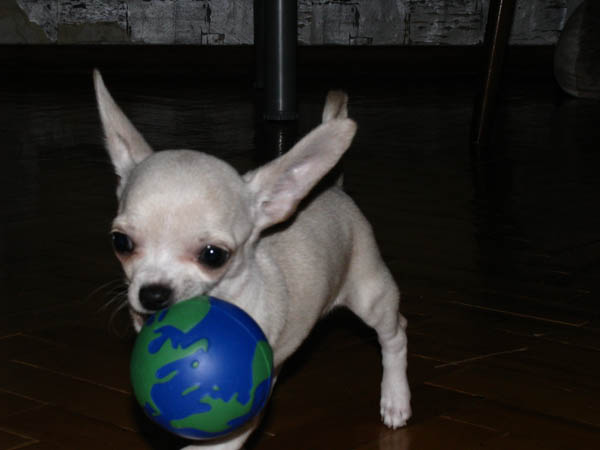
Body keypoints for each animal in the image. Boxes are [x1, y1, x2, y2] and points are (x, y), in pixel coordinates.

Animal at [94, 70, 411, 449]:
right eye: (121, 242)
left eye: (213, 255)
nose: (153, 294)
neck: (228, 295)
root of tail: (333, 187)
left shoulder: (245, 410)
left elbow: (217, 443)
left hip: (370, 295)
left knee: (396, 334)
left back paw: (395, 398)